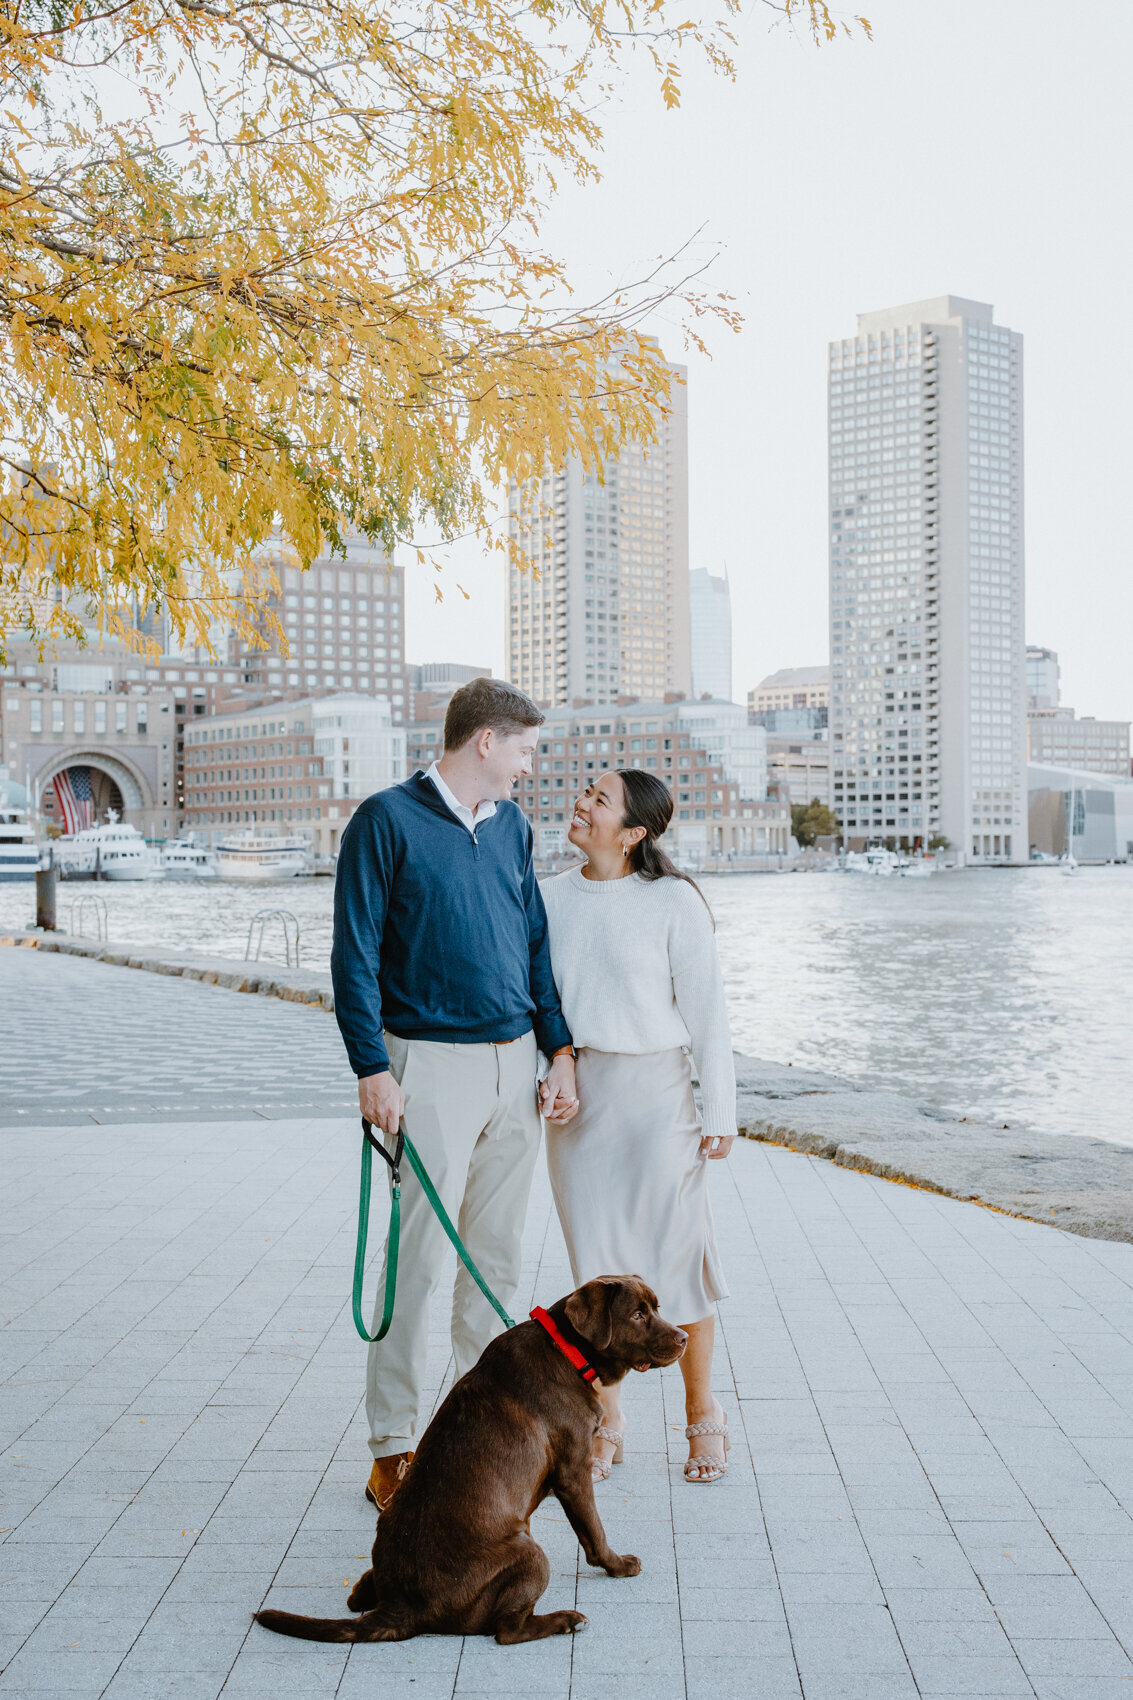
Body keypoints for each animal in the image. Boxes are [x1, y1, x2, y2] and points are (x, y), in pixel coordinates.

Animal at [253, 1278, 680, 1645]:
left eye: (657, 1308)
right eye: (637, 1315)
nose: (685, 1337)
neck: (565, 1349)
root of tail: (402, 1606)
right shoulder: (575, 1472)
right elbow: (594, 1530)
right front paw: (618, 1565)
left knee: (357, 1595)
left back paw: (362, 1591)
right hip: (529, 1551)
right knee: (507, 1630)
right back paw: (565, 1620)